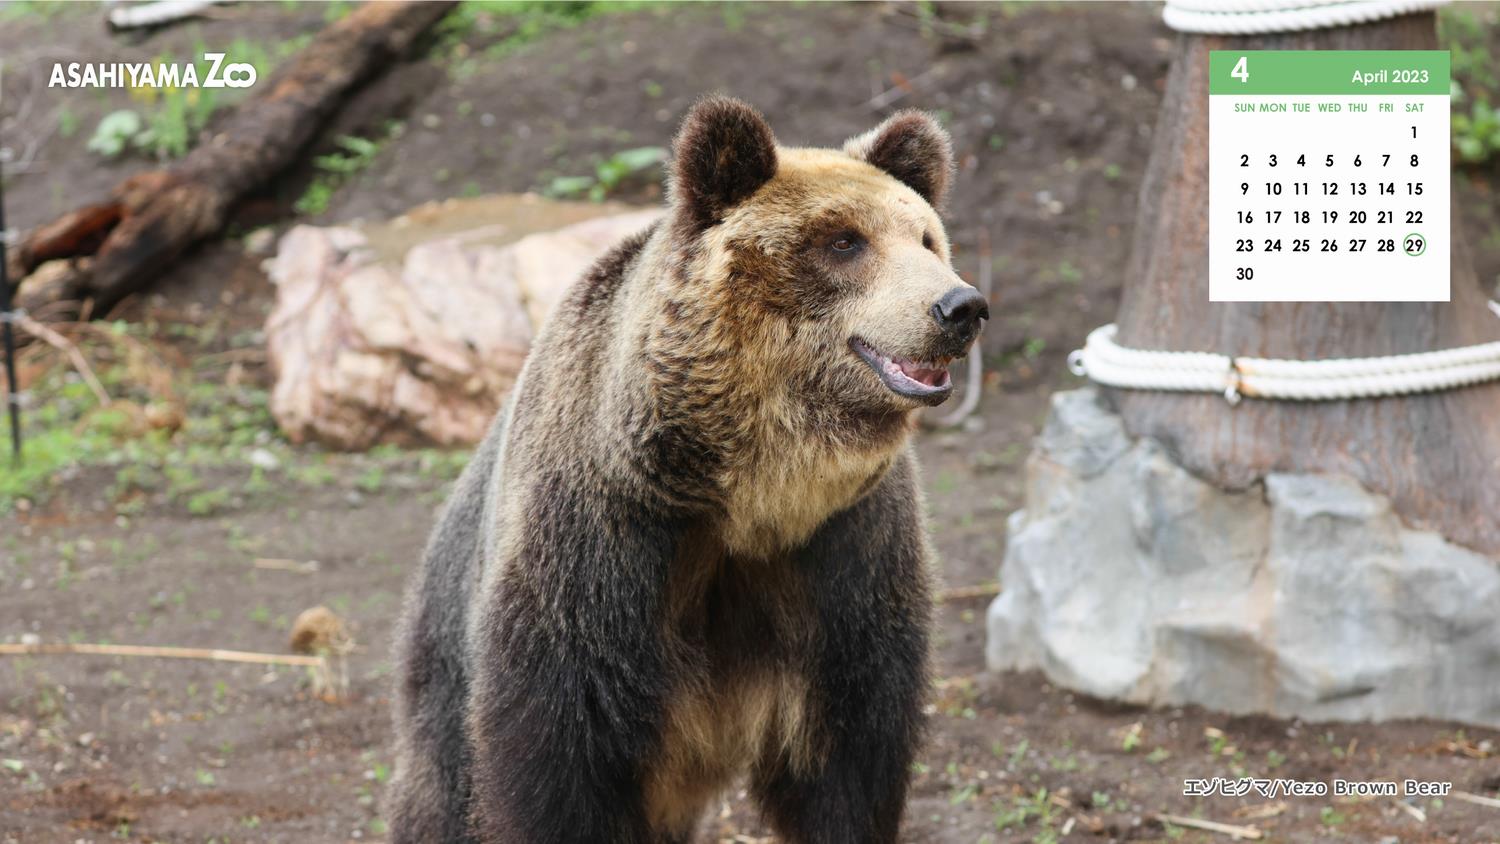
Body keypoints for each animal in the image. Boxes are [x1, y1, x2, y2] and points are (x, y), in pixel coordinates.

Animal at [393, 95, 990, 839]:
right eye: (845, 241)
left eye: (926, 239)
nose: (960, 306)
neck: (748, 493)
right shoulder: (602, 541)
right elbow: (556, 757)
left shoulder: (845, 550)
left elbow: (852, 757)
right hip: (446, 649)